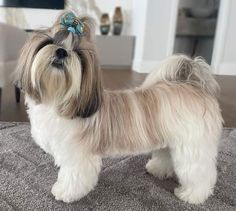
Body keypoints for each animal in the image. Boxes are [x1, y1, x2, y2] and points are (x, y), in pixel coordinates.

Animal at [15, 11, 223, 204]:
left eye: (78, 53)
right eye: (49, 42)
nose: (61, 52)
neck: (58, 100)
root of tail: (193, 85)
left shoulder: (77, 157)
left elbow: (73, 178)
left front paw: (64, 192)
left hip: (192, 147)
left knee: (200, 173)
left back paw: (193, 195)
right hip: (171, 139)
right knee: (167, 156)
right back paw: (158, 170)